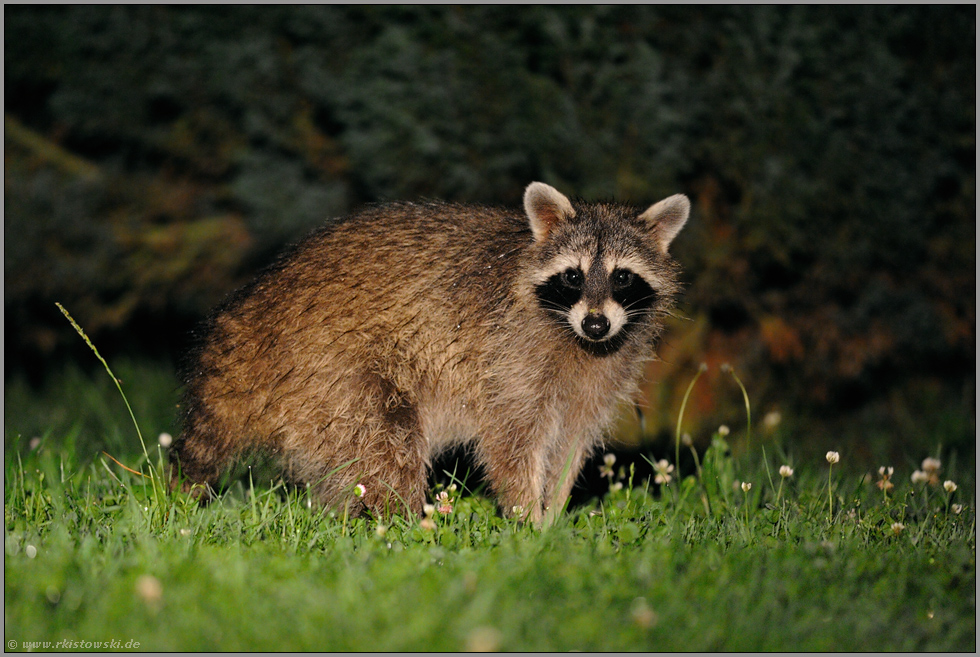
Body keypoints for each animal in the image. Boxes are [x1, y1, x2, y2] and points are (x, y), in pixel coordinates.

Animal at [170, 182, 688, 524]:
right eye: (573, 276)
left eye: (622, 277)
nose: (596, 324)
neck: (575, 337)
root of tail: (251, 318)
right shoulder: (509, 358)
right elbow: (512, 444)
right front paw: (528, 521)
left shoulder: (599, 376)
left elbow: (571, 444)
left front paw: (554, 515)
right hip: (330, 370)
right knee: (384, 446)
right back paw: (400, 524)